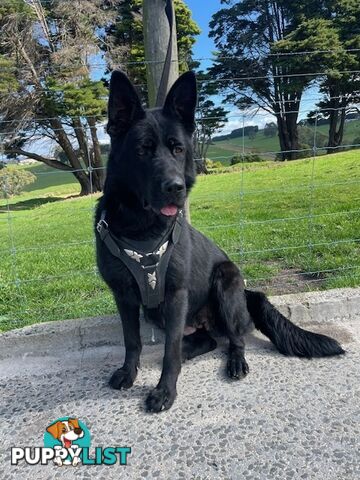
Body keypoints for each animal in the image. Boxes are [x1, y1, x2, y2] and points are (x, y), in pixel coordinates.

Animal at [94, 71, 344, 412]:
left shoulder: (175, 295)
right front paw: (129, 372)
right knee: (204, 341)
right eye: (142, 150)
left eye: (178, 149)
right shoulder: (125, 297)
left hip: (225, 282)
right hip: (157, 313)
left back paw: (234, 362)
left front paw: (165, 390)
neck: (142, 230)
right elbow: (132, 341)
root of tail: (248, 293)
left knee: (233, 339)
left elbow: (169, 352)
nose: (175, 188)